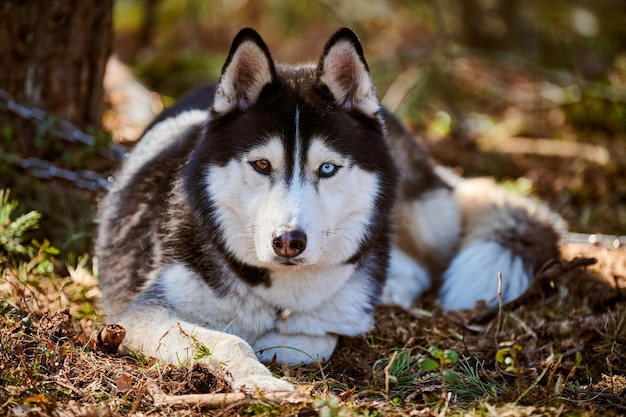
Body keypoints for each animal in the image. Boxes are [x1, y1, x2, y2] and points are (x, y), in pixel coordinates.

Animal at [96, 27, 560, 392]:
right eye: (261, 165)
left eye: (327, 168)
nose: (288, 241)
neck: (277, 292)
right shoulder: (139, 315)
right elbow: (229, 340)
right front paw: (261, 378)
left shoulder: (334, 321)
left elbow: (313, 340)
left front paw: (271, 349)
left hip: (419, 211)